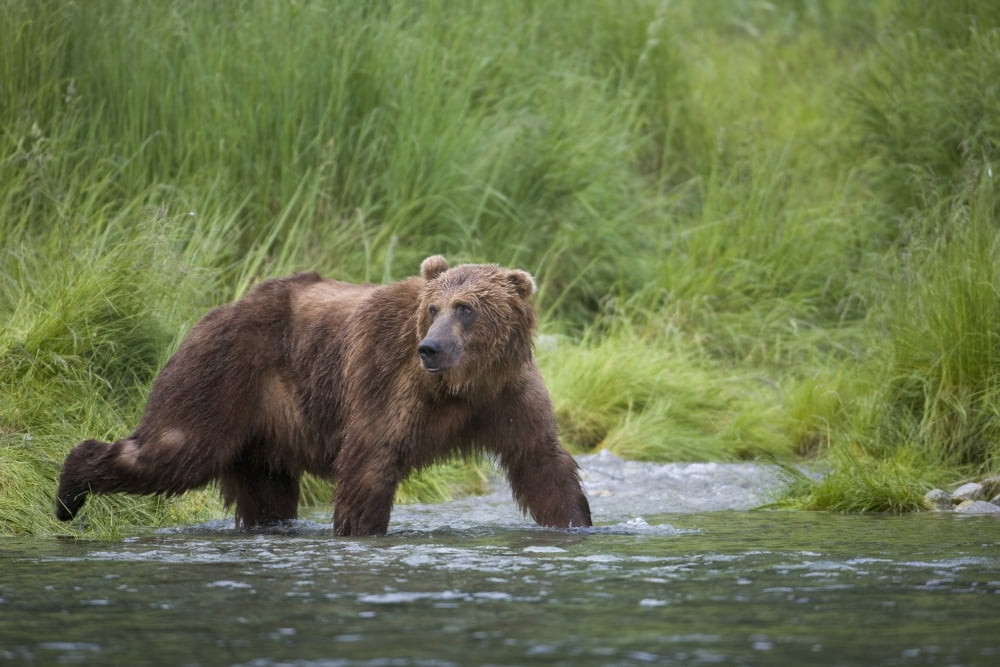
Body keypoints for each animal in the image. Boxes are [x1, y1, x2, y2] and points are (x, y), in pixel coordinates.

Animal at [55, 255, 592, 536]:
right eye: (433, 307)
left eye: (466, 308)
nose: (431, 347)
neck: (460, 385)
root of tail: (214, 312)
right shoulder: (388, 381)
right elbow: (370, 459)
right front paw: (359, 529)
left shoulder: (507, 394)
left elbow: (541, 462)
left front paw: (577, 523)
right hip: (222, 379)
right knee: (173, 447)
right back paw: (67, 494)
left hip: (263, 431)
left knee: (266, 493)